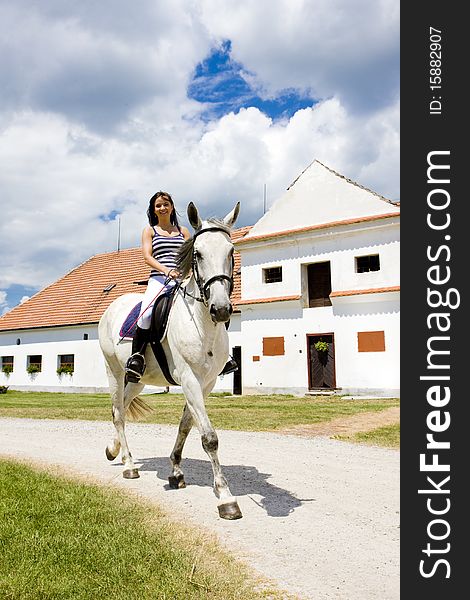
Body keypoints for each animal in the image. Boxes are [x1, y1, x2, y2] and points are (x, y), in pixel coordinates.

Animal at [97, 202, 241, 520]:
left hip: (137, 380)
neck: (202, 324)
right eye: (198, 254)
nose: (221, 309)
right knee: (117, 412)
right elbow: (209, 437)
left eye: (231, 251)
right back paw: (129, 466)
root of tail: (113, 306)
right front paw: (226, 498)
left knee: (123, 407)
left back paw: (115, 451)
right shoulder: (189, 378)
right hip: (113, 371)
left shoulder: (206, 383)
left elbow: (186, 427)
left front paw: (176, 472)